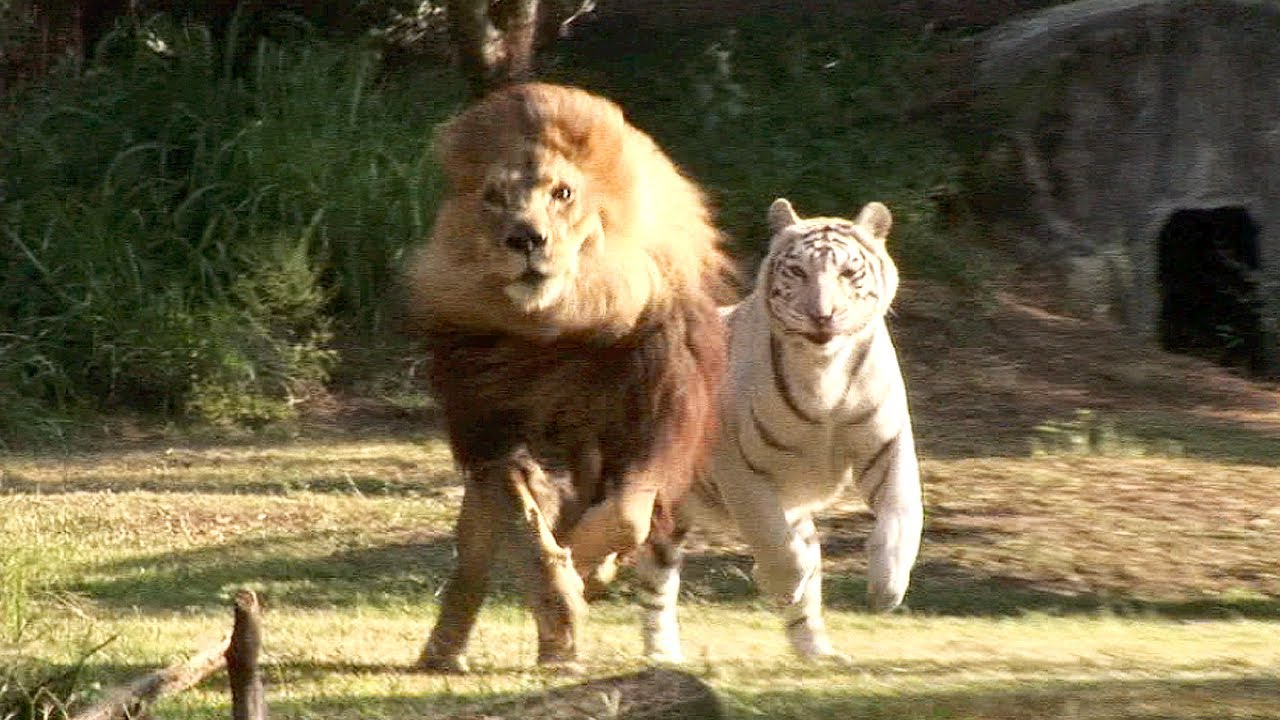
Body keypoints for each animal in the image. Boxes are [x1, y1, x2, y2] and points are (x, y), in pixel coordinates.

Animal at [404, 83, 734, 671]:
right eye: (493, 197)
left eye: (562, 193)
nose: (525, 239)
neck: (562, 322)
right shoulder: (488, 429)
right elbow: (526, 528)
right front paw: (564, 588)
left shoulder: (652, 427)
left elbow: (625, 518)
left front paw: (584, 572)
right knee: (474, 555)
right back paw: (446, 654)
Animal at [634, 198, 924, 662]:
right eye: (798, 272)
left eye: (848, 273)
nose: (822, 316)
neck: (824, 371)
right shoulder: (738, 465)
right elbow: (771, 538)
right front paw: (784, 584)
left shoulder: (888, 447)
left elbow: (902, 517)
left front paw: (887, 588)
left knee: (657, 580)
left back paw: (817, 653)